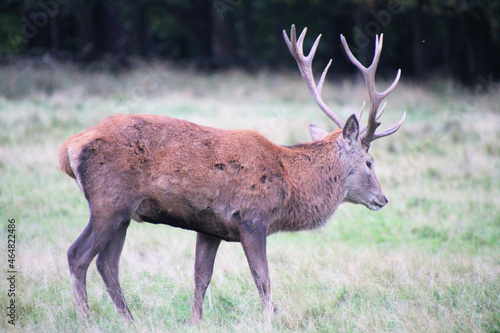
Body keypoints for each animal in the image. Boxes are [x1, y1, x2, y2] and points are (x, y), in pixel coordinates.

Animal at [60, 26, 406, 322]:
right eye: (370, 162)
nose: (383, 198)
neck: (288, 183)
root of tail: (69, 147)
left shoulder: (209, 228)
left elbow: (201, 279)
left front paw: (195, 321)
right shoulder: (252, 218)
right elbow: (263, 280)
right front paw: (271, 321)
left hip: (124, 212)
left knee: (107, 263)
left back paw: (130, 320)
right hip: (109, 200)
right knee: (78, 255)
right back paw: (87, 319)